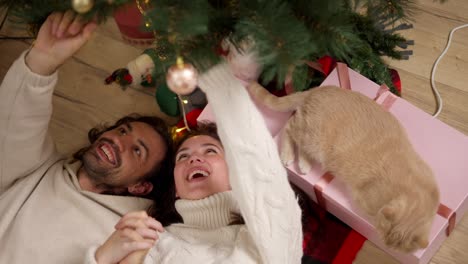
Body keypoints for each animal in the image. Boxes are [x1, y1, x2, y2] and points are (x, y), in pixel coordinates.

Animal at [247, 83, 440, 253]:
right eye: (385, 234)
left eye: (393, 245)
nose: (384, 243)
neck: (416, 189)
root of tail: (317, 89)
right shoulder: (364, 200)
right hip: (313, 138)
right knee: (289, 126)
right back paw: (288, 155)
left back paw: (304, 163)